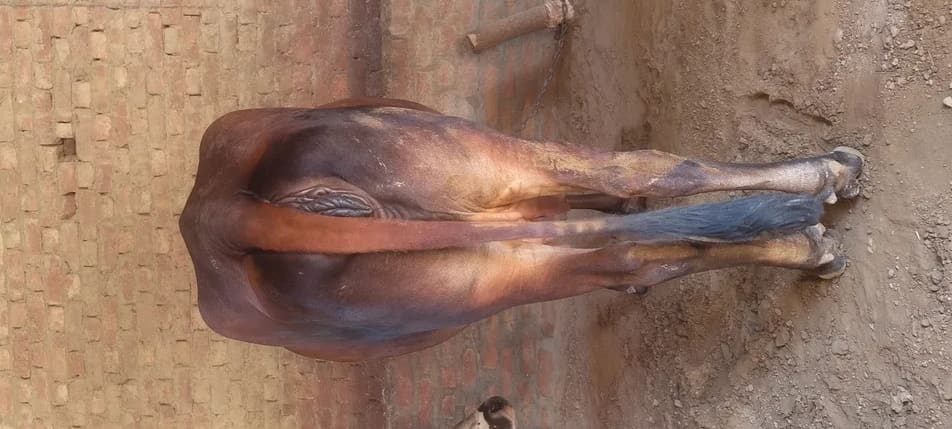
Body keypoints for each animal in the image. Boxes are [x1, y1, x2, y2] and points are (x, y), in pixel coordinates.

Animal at [179, 97, 864, 362]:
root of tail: (230, 217)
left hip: (486, 266)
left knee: (629, 215)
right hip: (497, 165)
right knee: (641, 193)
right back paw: (823, 201)